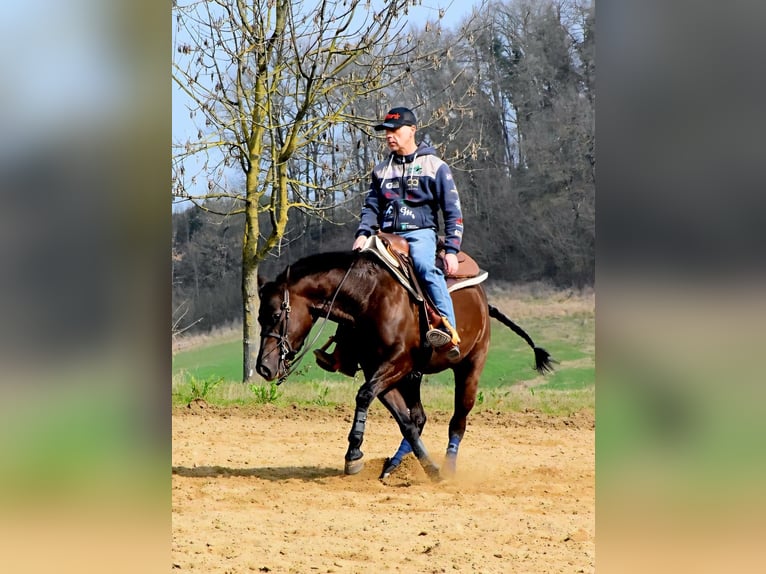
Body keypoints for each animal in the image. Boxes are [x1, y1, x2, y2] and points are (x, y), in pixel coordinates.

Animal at [255, 248, 553, 481]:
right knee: (419, 418)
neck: (370, 297)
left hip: (470, 367)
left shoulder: (396, 364)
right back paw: (394, 465)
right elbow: (406, 422)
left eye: (276, 314)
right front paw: (428, 468)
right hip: (414, 377)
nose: (263, 367)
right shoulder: (383, 371)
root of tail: (482, 298)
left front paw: (353, 454)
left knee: (458, 421)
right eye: (259, 318)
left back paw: (449, 468)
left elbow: (364, 395)